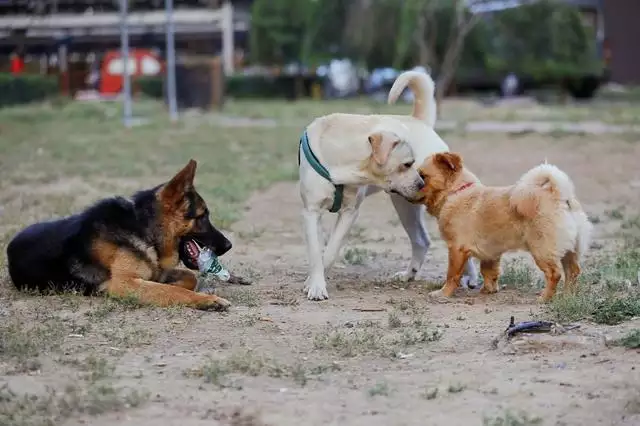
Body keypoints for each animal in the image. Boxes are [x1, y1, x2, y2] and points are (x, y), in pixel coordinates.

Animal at [5, 160, 240, 310]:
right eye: (203, 216)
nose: (229, 245)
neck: (144, 229)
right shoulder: (124, 284)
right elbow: (174, 292)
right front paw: (208, 299)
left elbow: (187, 279)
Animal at [298, 70, 478, 300]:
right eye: (407, 164)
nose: (421, 182)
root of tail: (420, 121)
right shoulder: (311, 212)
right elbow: (316, 252)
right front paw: (315, 285)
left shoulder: (350, 212)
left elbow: (330, 251)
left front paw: (315, 283)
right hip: (404, 206)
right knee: (421, 240)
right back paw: (409, 274)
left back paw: (470, 278)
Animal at [408, 151, 592, 302]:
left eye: (423, 177)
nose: (410, 185)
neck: (457, 192)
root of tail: (560, 196)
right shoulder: (491, 253)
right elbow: (489, 271)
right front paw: (488, 290)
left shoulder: (456, 250)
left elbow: (452, 275)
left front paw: (444, 293)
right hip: (569, 250)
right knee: (573, 271)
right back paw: (568, 296)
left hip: (542, 250)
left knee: (555, 274)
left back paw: (545, 297)